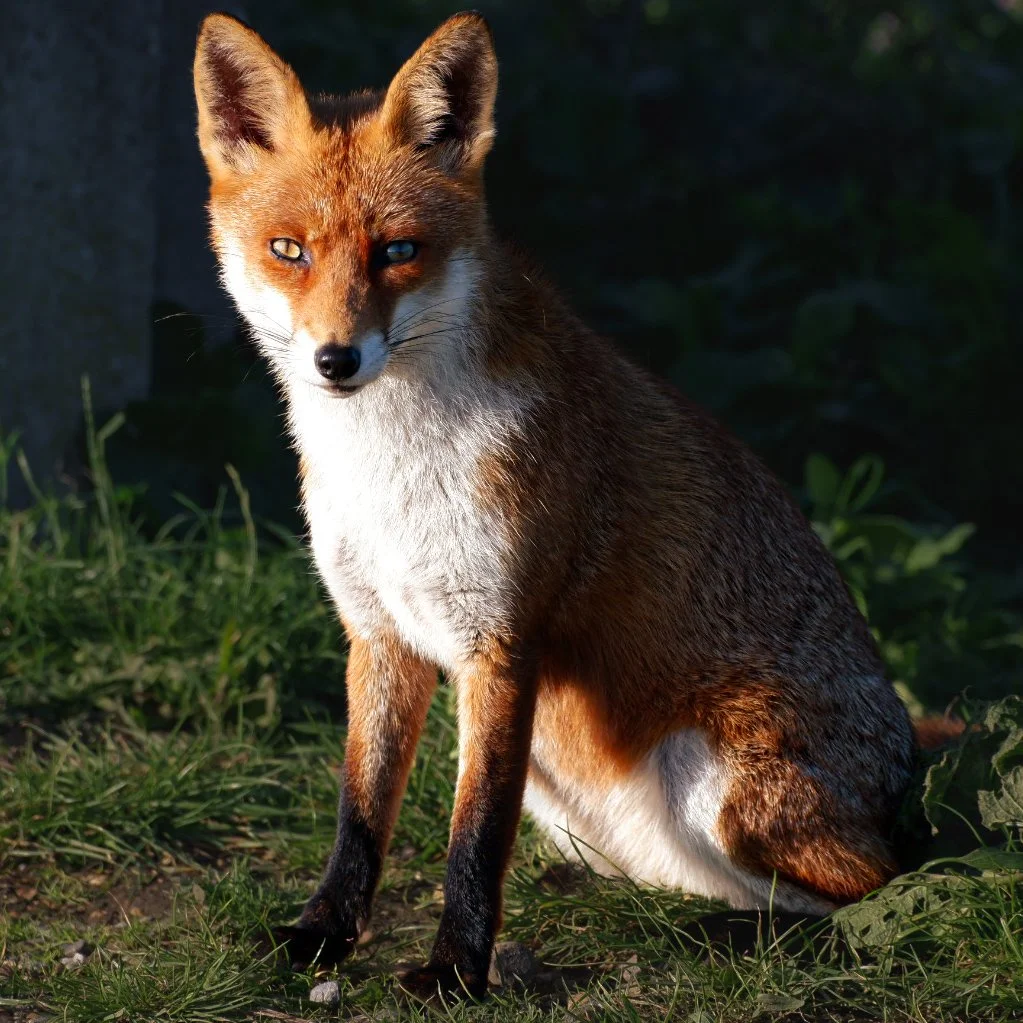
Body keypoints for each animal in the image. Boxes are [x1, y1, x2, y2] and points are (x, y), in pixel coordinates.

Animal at [194, 10, 919, 998]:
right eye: (289, 251)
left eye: (397, 251)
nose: (336, 359)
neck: (390, 472)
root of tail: (911, 792)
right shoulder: (378, 631)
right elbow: (359, 814)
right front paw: (324, 934)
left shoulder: (500, 642)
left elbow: (474, 834)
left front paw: (455, 970)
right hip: (578, 795)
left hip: (712, 773)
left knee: (873, 892)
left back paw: (734, 936)